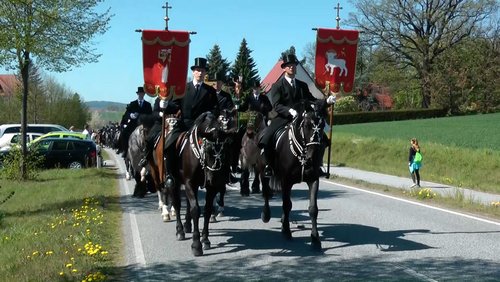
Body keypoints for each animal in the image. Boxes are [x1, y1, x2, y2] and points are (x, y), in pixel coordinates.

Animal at [169, 110, 237, 256]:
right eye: (208, 150)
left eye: (225, 150)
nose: (215, 179)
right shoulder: (190, 183)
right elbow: (196, 210)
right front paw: (196, 244)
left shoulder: (211, 188)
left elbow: (207, 210)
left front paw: (205, 239)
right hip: (175, 182)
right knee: (177, 204)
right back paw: (180, 230)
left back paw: (187, 225)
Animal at [258, 100, 328, 250]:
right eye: (307, 125)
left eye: (322, 125)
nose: (314, 157)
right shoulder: (286, 181)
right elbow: (286, 205)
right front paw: (286, 231)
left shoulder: (313, 179)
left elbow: (313, 209)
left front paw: (315, 240)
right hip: (262, 172)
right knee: (266, 193)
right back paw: (266, 215)